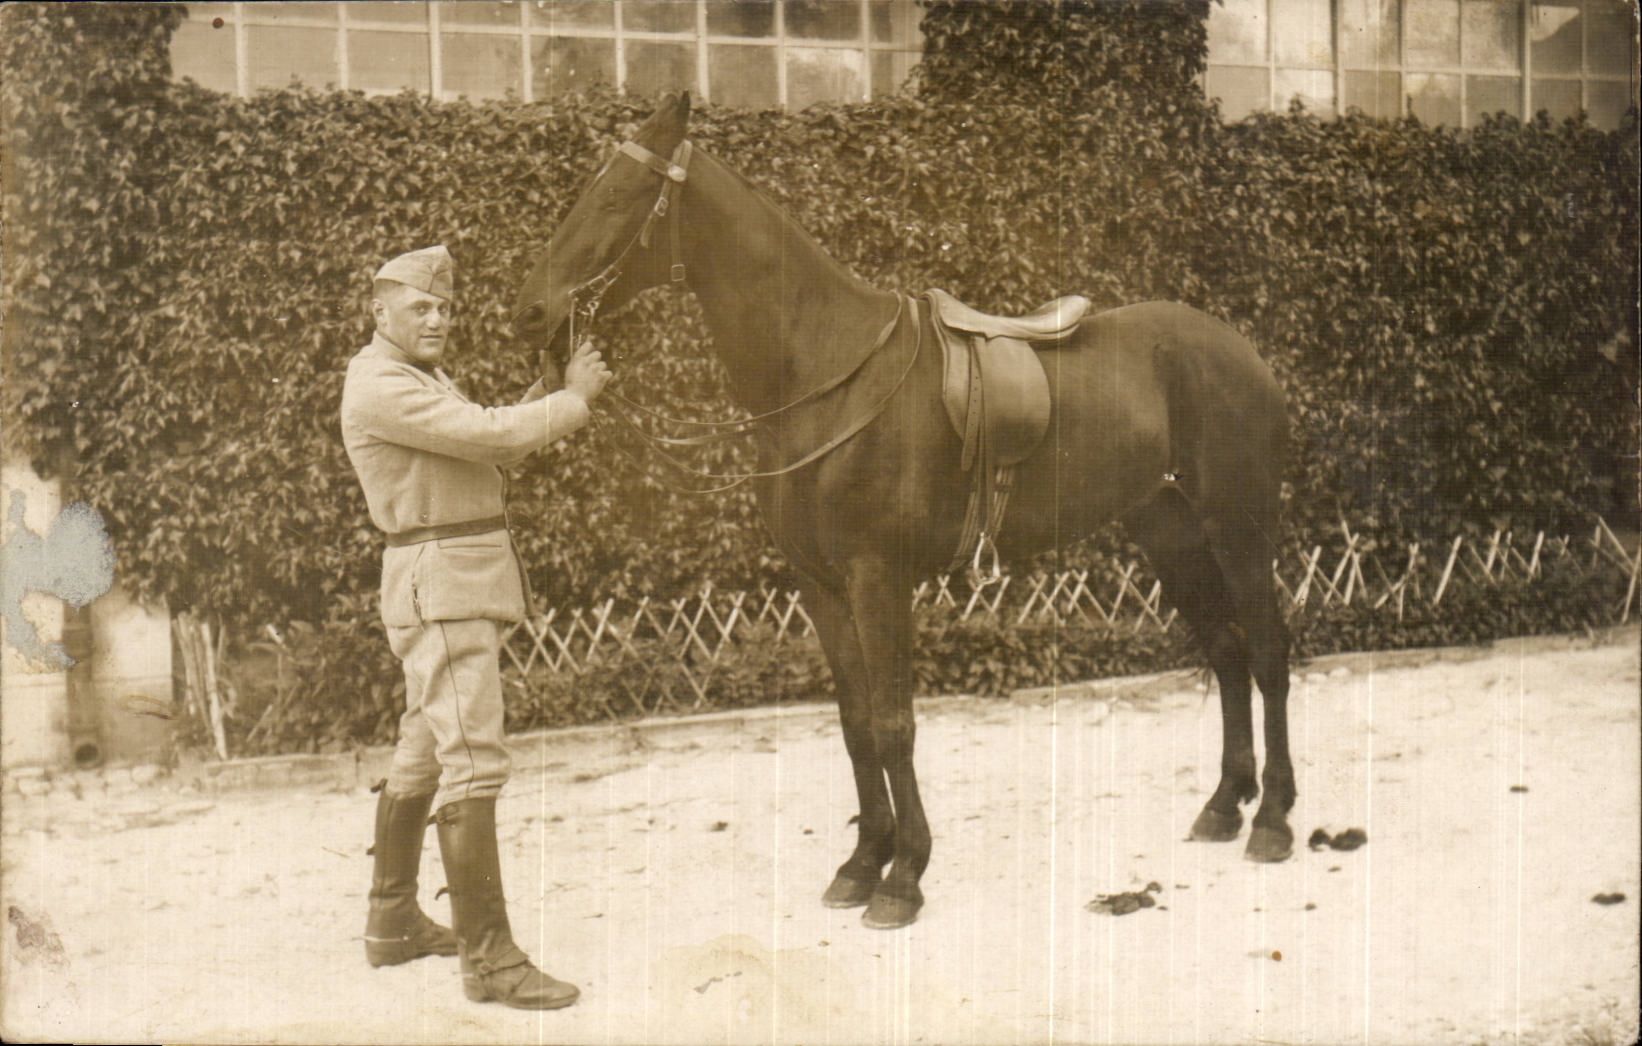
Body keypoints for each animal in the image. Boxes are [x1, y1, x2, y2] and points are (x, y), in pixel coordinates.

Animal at [512, 93, 1294, 930]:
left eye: (618, 196)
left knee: (1268, 652)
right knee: (1227, 649)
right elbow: (857, 726)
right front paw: (861, 862)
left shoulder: (877, 579)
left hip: (1239, 529)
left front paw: (904, 875)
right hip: (1170, 534)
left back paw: (1274, 819)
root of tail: (1239, 348)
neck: (824, 374)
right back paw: (1224, 805)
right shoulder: (821, 587)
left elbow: (894, 725)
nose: (531, 311)